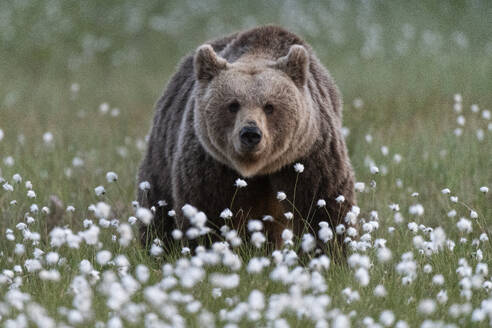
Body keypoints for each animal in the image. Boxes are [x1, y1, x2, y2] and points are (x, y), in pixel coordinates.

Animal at [136, 25, 356, 254]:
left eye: (269, 106)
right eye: (233, 105)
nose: (251, 133)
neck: (256, 169)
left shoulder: (308, 154)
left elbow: (322, 206)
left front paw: (331, 251)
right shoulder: (211, 162)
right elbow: (207, 210)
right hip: (161, 157)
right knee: (157, 209)